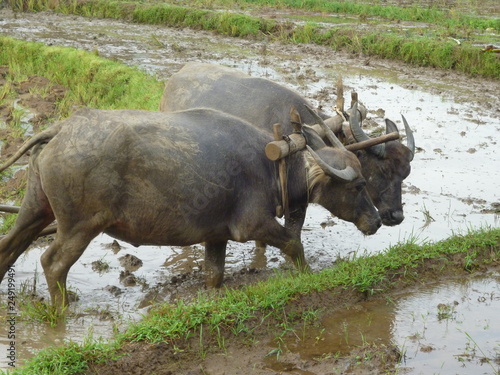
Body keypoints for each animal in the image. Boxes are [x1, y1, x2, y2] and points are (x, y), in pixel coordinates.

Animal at [0, 107, 378, 306]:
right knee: (52, 263)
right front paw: (306, 277)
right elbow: (293, 244)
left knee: (9, 247)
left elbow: (215, 274)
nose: (375, 221)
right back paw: (62, 309)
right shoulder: (255, 225)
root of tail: (61, 128)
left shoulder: (216, 236)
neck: (275, 165)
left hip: (34, 210)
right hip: (80, 226)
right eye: (360, 185)